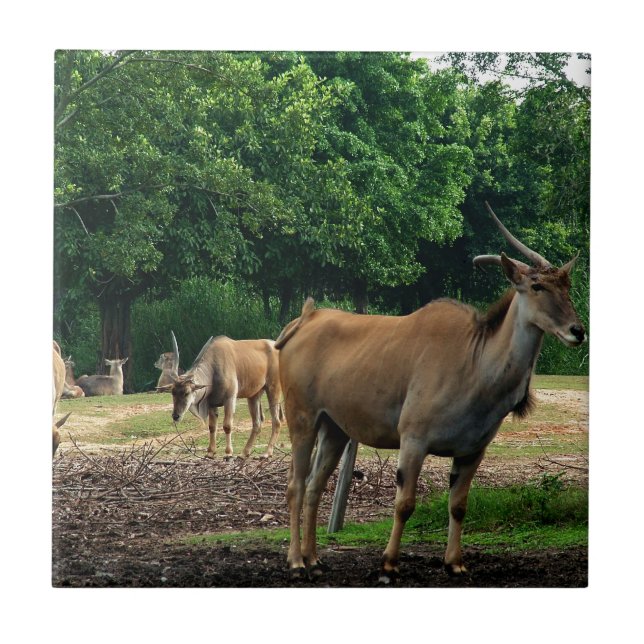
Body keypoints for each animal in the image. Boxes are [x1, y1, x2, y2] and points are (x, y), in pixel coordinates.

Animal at [276, 202, 586, 583]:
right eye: (537, 285)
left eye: (567, 285)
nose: (577, 331)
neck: (474, 360)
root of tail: (304, 319)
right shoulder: (413, 441)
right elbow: (405, 504)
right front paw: (388, 565)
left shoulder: (472, 452)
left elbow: (459, 505)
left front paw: (455, 562)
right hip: (302, 419)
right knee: (296, 486)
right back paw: (295, 561)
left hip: (334, 429)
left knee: (315, 487)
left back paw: (315, 559)